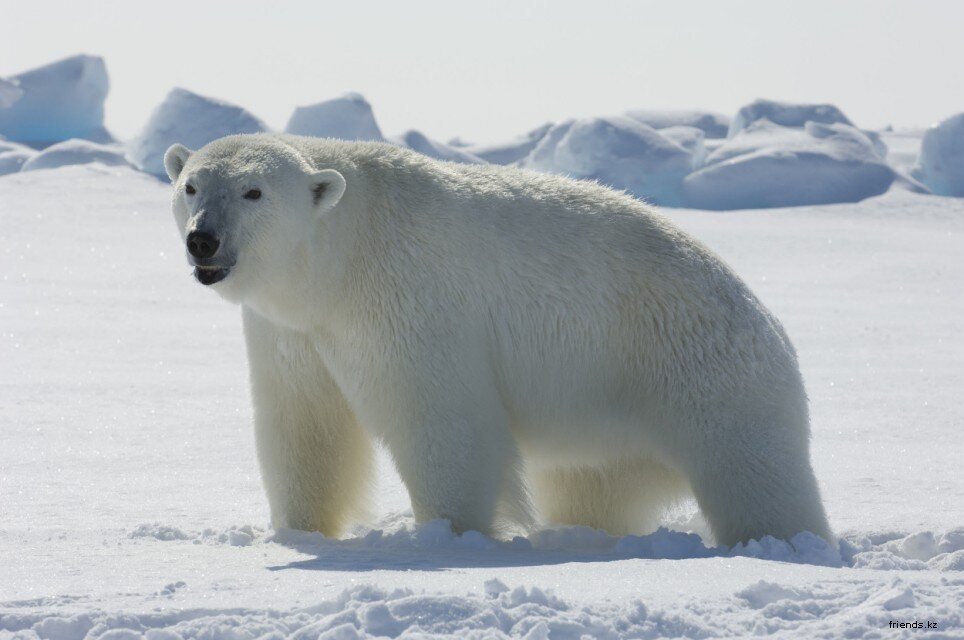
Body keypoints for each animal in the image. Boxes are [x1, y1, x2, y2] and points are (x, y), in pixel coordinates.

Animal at [164, 134, 828, 544]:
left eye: (254, 191)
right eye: (192, 185)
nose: (204, 240)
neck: (343, 254)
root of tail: (770, 324)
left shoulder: (410, 298)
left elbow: (441, 417)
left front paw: (450, 535)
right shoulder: (294, 329)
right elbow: (305, 421)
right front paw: (299, 531)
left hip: (696, 369)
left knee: (754, 474)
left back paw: (782, 541)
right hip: (606, 427)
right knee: (594, 488)